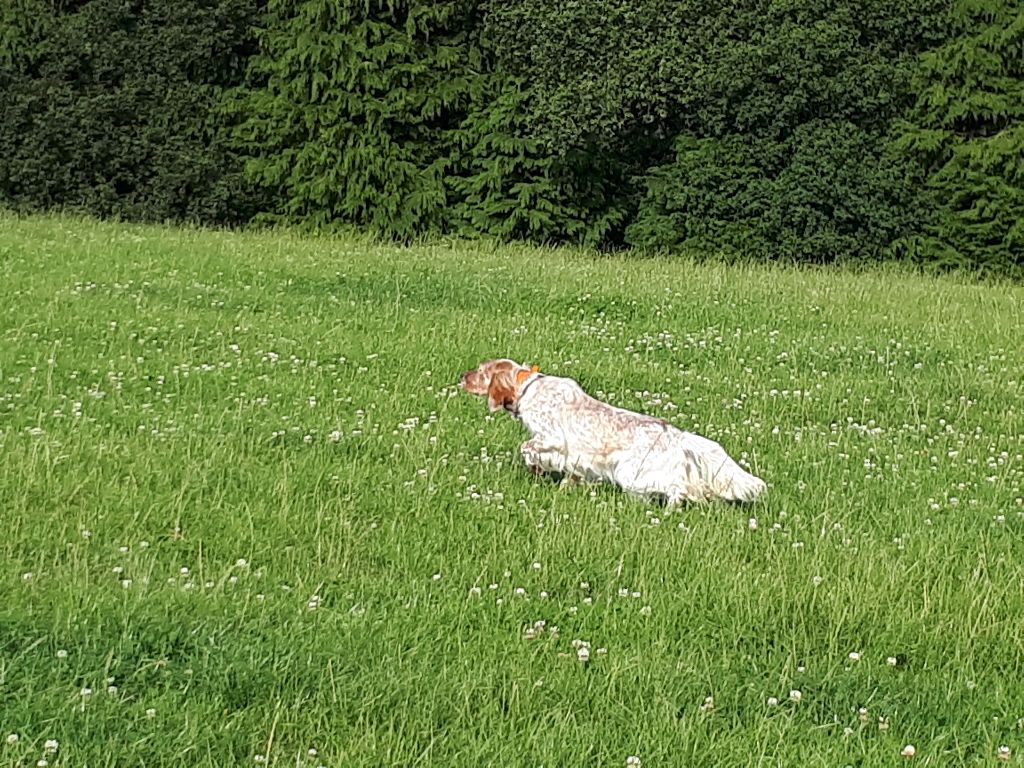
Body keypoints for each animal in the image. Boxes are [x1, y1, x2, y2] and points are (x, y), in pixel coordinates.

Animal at [460, 360, 765, 505]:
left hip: (630, 473)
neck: (528, 387)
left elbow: (527, 448)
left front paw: (537, 466)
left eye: (481, 371)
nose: (462, 376)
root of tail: (677, 435)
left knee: (681, 490)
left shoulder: (552, 438)